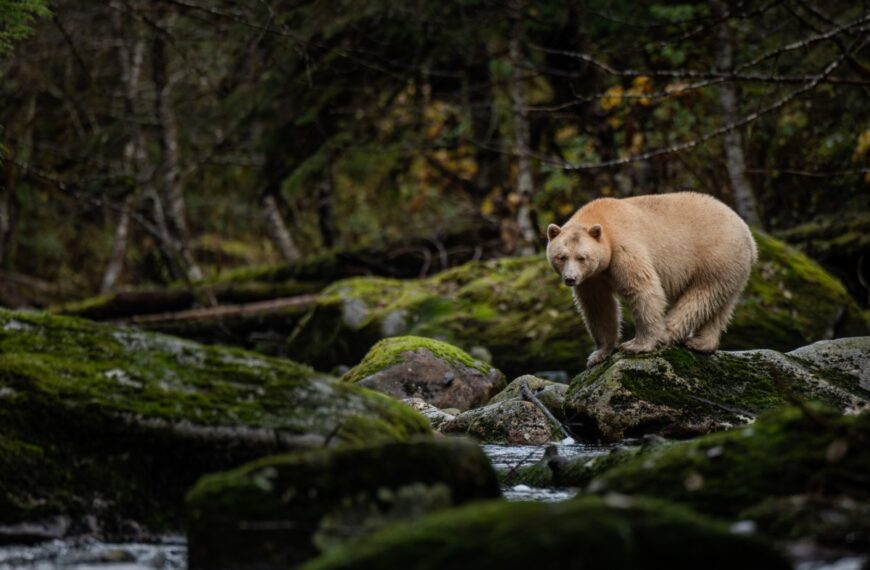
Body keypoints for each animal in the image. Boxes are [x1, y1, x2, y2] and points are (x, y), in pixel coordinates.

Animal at [546, 192, 757, 368]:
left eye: (582, 257)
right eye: (561, 257)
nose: (570, 279)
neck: (602, 219)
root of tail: (749, 235)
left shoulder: (624, 247)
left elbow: (642, 288)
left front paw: (636, 345)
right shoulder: (593, 277)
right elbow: (598, 306)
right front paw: (599, 354)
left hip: (717, 255)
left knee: (701, 295)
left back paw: (668, 333)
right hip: (732, 268)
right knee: (721, 305)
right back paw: (702, 342)